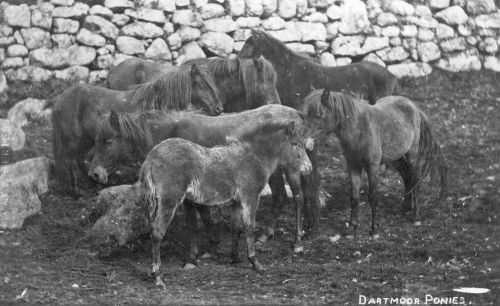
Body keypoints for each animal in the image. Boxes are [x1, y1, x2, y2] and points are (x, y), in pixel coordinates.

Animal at [47, 63, 222, 197]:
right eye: (202, 85)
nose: (219, 109)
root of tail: (59, 100)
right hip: (74, 142)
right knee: (72, 163)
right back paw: (77, 192)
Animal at [86, 105, 312, 258]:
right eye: (95, 140)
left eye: (108, 141)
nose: (94, 175)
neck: (173, 132)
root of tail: (295, 113)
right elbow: (203, 214)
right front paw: (212, 243)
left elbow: (194, 220)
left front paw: (195, 254)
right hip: (276, 171)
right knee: (280, 196)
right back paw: (266, 234)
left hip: (291, 169)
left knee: (298, 198)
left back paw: (298, 242)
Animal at [135, 119, 310, 286]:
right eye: (298, 145)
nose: (308, 169)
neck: (253, 157)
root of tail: (152, 155)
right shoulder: (250, 197)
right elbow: (249, 227)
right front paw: (255, 262)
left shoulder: (236, 202)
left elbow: (236, 227)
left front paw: (235, 258)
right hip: (169, 200)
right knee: (158, 231)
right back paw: (158, 277)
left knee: (153, 229)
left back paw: (154, 272)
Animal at [302, 89, 448, 238]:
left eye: (318, 115)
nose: (304, 139)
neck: (358, 130)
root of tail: (414, 106)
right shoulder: (353, 166)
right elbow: (354, 197)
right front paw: (352, 228)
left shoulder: (372, 167)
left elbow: (373, 198)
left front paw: (374, 229)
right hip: (397, 159)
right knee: (407, 180)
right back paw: (405, 208)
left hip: (412, 156)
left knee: (415, 182)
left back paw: (416, 216)